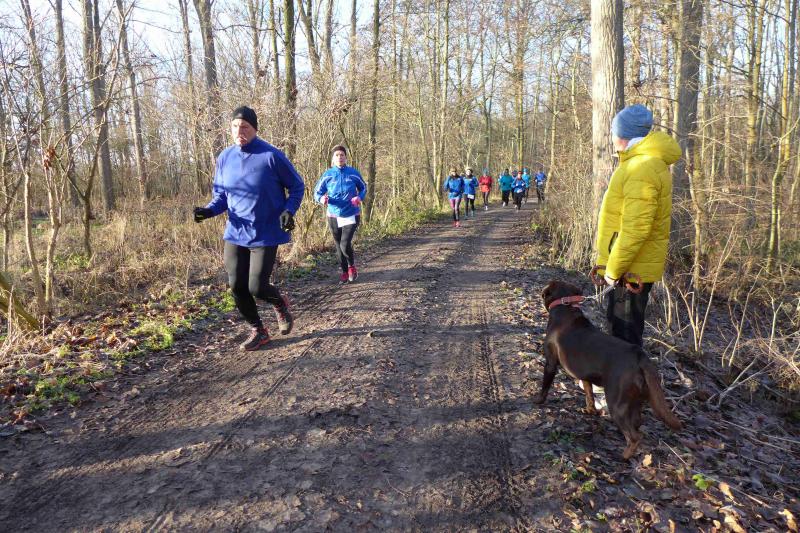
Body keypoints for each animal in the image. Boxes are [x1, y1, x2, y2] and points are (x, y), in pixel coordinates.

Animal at [535, 280, 682, 459]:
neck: (565, 306)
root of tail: (640, 357)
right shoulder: (586, 377)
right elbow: (589, 395)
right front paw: (590, 411)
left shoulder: (550, 363)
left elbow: (545, 386)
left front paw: (537, 400)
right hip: (636, 400)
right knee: (637, 424)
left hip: (616, 403)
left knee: (635, 436)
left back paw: (623, 456)